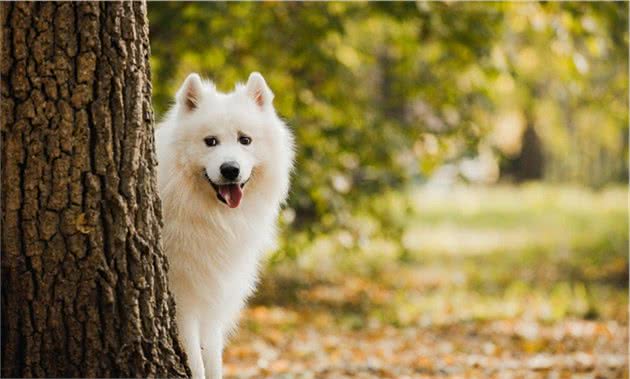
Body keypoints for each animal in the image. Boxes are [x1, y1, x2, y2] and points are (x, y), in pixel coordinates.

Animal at [158, 72, 296, 378]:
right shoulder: (183, 298)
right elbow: (195, 361)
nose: (230, 169)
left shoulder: (214, 296)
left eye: (245, 140)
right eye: (210, 141)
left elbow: (213, 357)